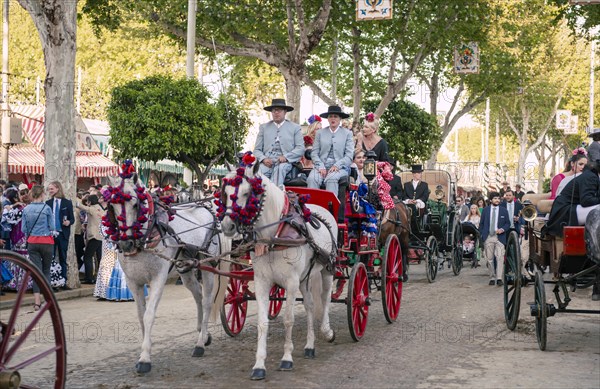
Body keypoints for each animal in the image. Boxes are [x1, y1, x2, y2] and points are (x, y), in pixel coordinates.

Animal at [105, 173, 227, 372]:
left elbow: (149, 316)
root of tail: (209, 210)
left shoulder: (158, 279)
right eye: (112, 207)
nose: (125, 243)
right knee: (198, 296)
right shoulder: (133, 282)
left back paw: (200, 344)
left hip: (207, 265)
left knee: (207, 300)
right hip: (185, 269)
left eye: (136, 204)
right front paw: (145, 350)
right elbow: (141, 316)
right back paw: (203, 334)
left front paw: (145, 359)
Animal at [217, 155, 338, 378]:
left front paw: (287, 358)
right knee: (310, 305)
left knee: (325, 299)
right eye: (226, 194)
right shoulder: (262, 281)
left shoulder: (291, 282)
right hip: (305, 277)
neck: (274, 235)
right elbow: (262, 322)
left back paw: (327, 331)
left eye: (247, 193)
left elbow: (288, 319)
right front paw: (259, 365)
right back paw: (309, 346)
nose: (228, 226)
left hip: (327, 269)